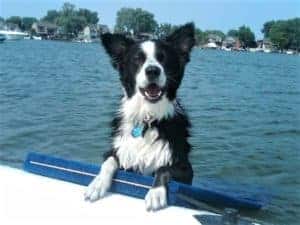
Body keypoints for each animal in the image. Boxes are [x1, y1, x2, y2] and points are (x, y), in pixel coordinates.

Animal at [84, 22, 196, 211]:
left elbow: (164, 169)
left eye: (163, 58)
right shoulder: (118, 151)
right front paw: (97, 184)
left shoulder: (185, 168)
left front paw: (156, 193)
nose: (152, 70)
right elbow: (109, 162)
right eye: (137, 59)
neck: (148, 118)